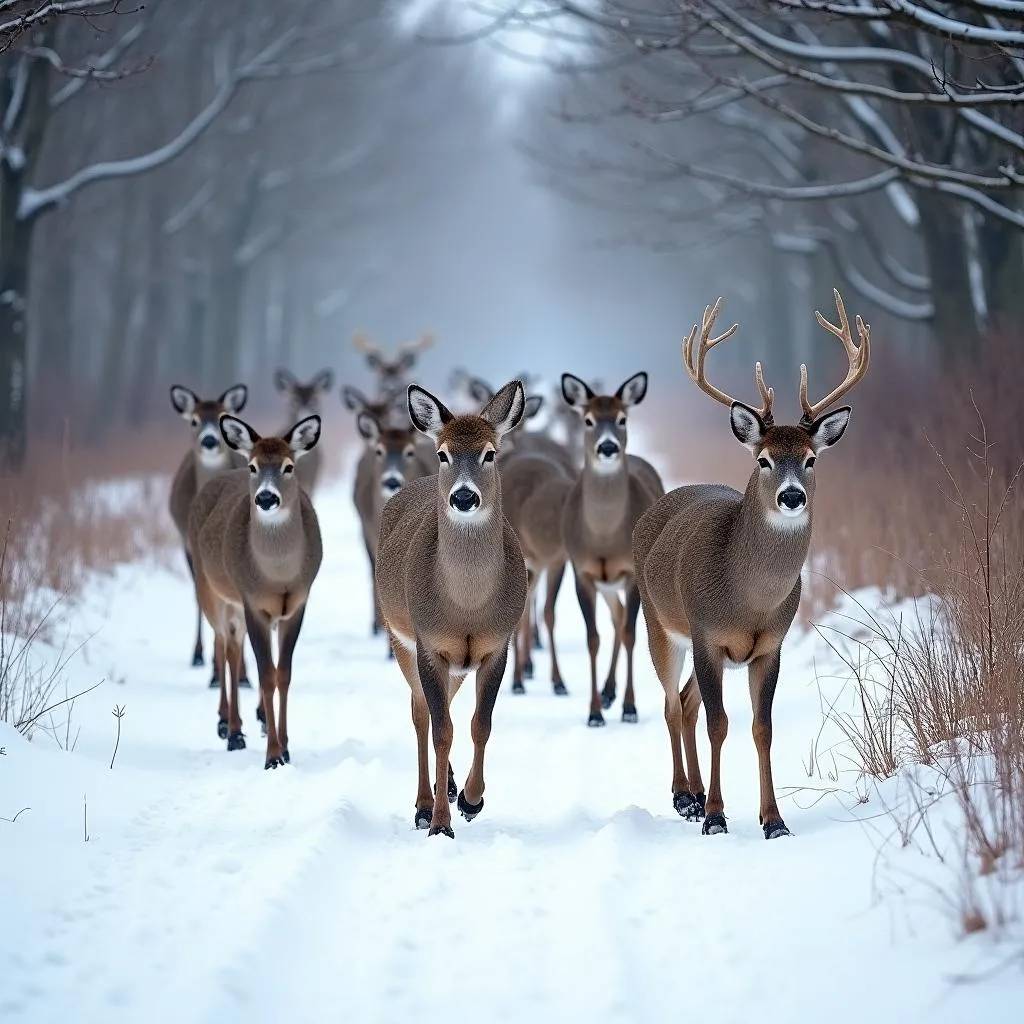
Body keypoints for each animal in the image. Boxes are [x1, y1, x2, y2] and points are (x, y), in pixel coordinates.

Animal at [168, 385, 252, 688]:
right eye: (194, 420)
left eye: (221, 417)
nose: (209, 440)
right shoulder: (188, 546)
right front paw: (215, 671)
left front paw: (243, 675)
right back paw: (202, 658)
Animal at [189, 411, 323, 765]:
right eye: (253, 466)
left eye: (289, 466)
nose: (265, 497)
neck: (277, 576)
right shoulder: (252, 602)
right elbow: (264, 674)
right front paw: (272, 756)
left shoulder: (297, 603)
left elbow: (282, 673)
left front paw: (285, 746)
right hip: (211, 589)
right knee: (226, 648)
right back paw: (230, 728)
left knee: (234, 650)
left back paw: (257, 720)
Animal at [376, 380, 528, 835]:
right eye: (443, 453)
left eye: (489, 453)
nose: (463, 495)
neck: (467, 608)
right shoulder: (429, 644)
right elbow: (442, 729)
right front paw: (440, 822)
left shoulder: (496, 645)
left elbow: (481, 724)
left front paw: (472, 800)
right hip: (399, 638)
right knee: (420, 713)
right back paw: (424, 803)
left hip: (457, 664)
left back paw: (451, 786)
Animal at [561, 376, 663, 729]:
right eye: (588, 420)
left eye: (622, 418)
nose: (607, 447)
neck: (604, 537)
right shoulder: (582, 572)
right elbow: (593, 638)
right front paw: (594, 712)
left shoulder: (631, 572)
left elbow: (632, 634)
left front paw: (630, 708)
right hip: (606, 585)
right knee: (615, 617)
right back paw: (606, 692)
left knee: (623, 622)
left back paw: (613, 692)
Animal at [634, 290, 868, 839]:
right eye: (763, 459)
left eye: (810, 459)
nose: (791, 496)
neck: (749, 601)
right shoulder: (706, 634)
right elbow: (720, 723)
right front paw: (717, 816)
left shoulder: (769, 645)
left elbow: (762, 728)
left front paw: (773, 820)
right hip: (659, 623)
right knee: (672, 703)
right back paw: (685, 797)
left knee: (687, 703)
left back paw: (695, 795)